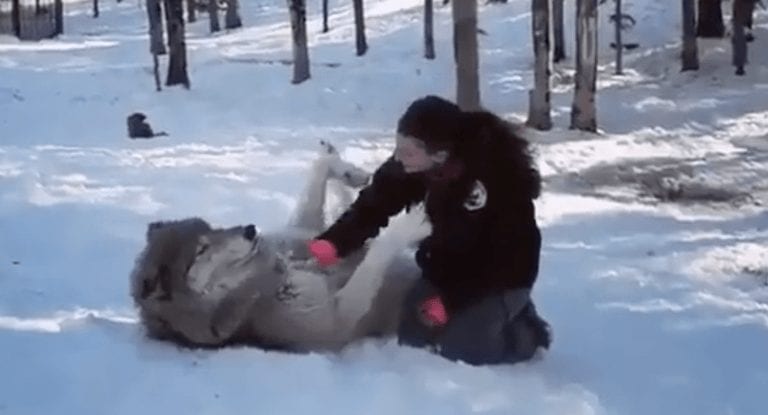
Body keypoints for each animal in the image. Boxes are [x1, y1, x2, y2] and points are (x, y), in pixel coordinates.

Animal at [130, 141, 431, 352]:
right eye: (200, 251)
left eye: (211, 227)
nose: (250, 230)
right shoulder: (340, 319)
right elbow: (379, 253)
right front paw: (411, 223)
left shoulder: (311, 232)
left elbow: (319, 179)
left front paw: (343, 167)